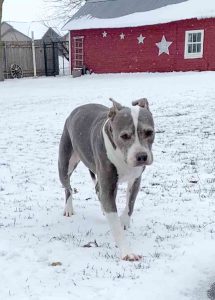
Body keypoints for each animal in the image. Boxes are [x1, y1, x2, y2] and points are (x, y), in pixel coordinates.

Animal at [58, 98, 155, 260]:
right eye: (124, 136)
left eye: (149, 132)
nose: (141, 156)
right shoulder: (109, 185)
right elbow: (115, 224)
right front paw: (127, 252)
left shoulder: (135, 179)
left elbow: (130, 204)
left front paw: (124, 221)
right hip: (64, 165)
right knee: (68, 187)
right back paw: (69, 209)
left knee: (97, 189)